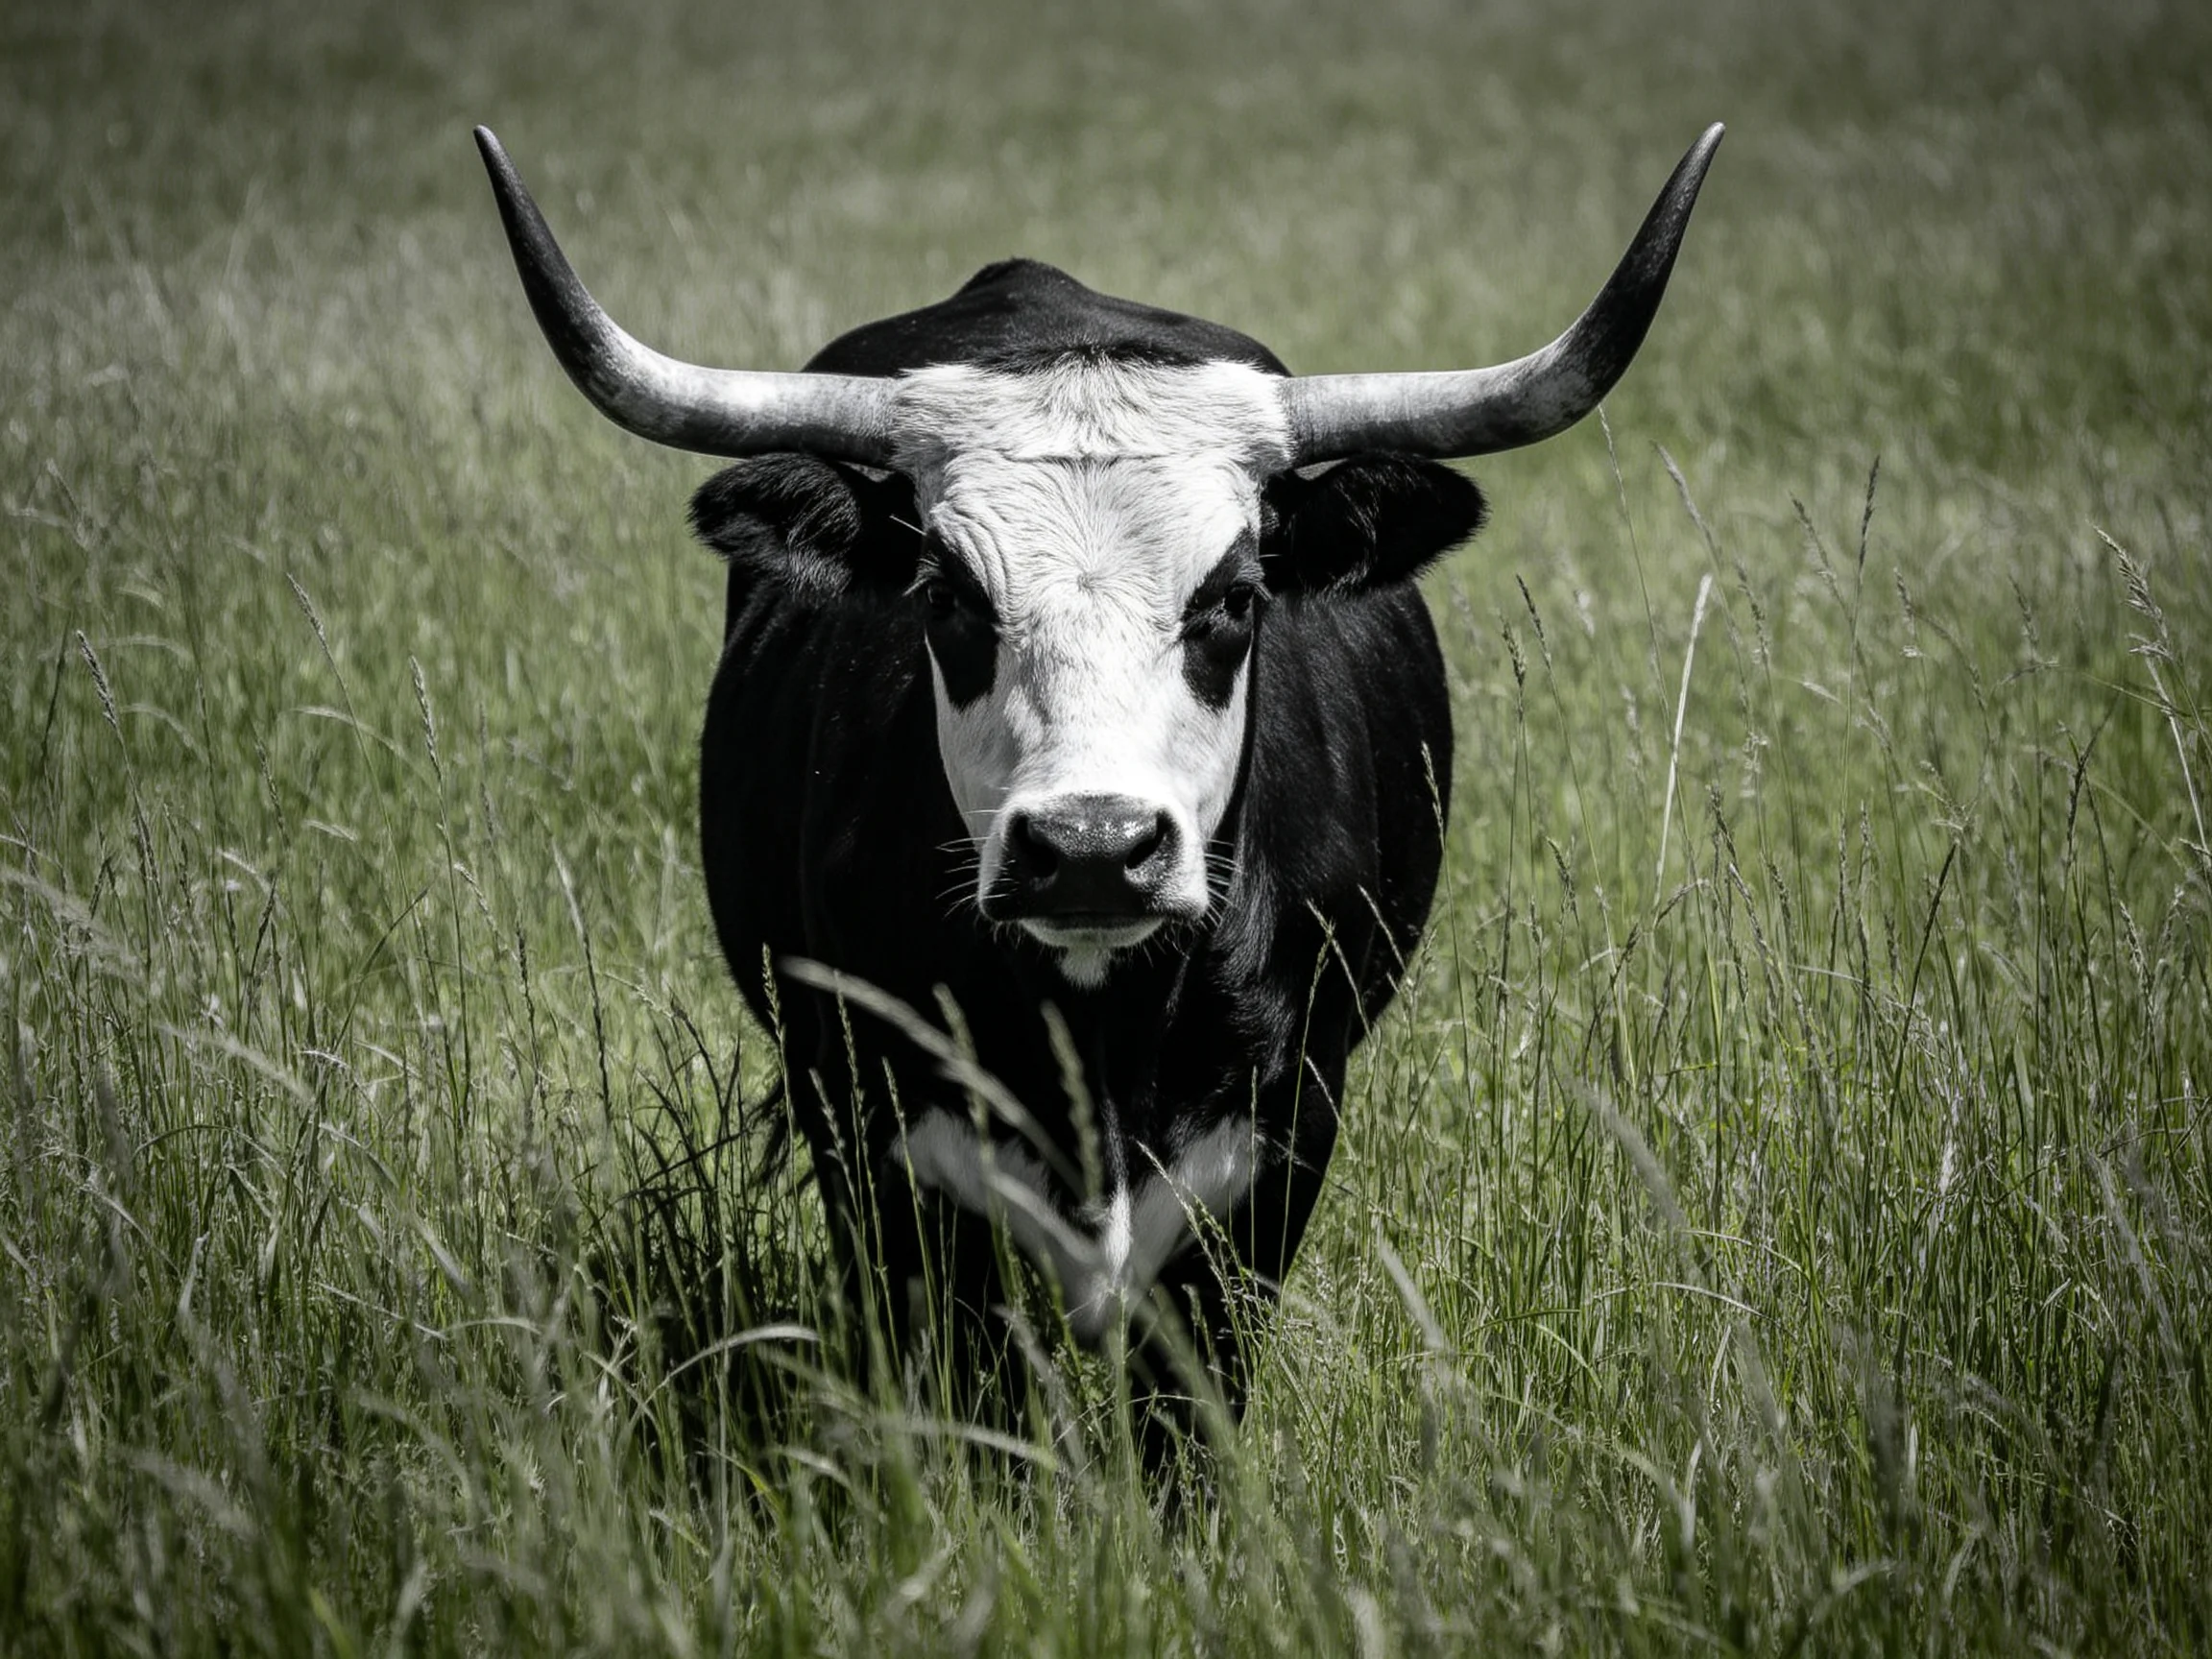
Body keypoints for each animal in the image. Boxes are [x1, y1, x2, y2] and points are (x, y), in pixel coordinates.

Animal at [474, 123, 1721, 1458]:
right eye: (948, 595)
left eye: (1233, 596)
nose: (1090, 846)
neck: (1100, 1030)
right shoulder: (878, 1146)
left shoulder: (1274, 1156)